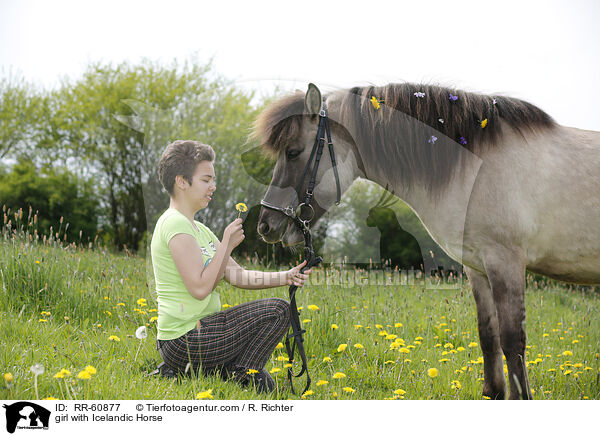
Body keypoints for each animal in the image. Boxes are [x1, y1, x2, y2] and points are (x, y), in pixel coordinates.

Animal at [253, 81, 600, 398]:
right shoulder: (478, 267)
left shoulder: (506, 262)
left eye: (293, 152)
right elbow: (488, 336)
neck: (476, 166)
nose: (266, 226)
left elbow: (513, 340)